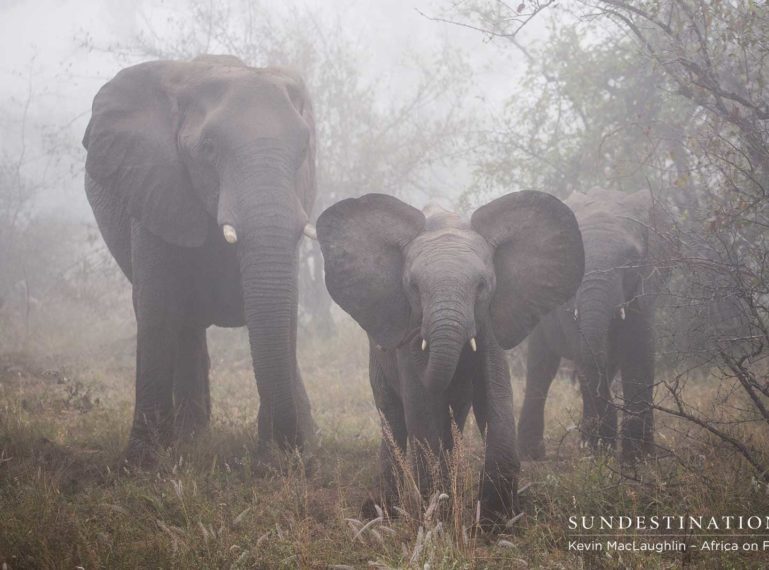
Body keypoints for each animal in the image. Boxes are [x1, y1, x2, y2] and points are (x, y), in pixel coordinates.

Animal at [85, 55, 320, 460]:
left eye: (304, 150)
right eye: (209, 149)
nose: (289, 449)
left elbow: (285, 308)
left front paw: (281, 457)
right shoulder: (156, 190)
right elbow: (157, 307)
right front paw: (143, 462)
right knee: (184, 322)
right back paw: (190, 438)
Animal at [316, 193, 584, 524]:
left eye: (482, 286)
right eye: (413, 287)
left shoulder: (489, 320)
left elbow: (493, 393)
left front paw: (498, 520)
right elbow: (420, 405)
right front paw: (436, 517)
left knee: (453, 414)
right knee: (393, 416)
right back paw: (381, 512)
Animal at [516, 186, 672, 462]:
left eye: (631, 261)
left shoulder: (643, 289)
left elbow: (638, 353)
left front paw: (637, 459)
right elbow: (584, 356)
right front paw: (602, 451)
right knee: (542, 367)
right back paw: (535, 454)